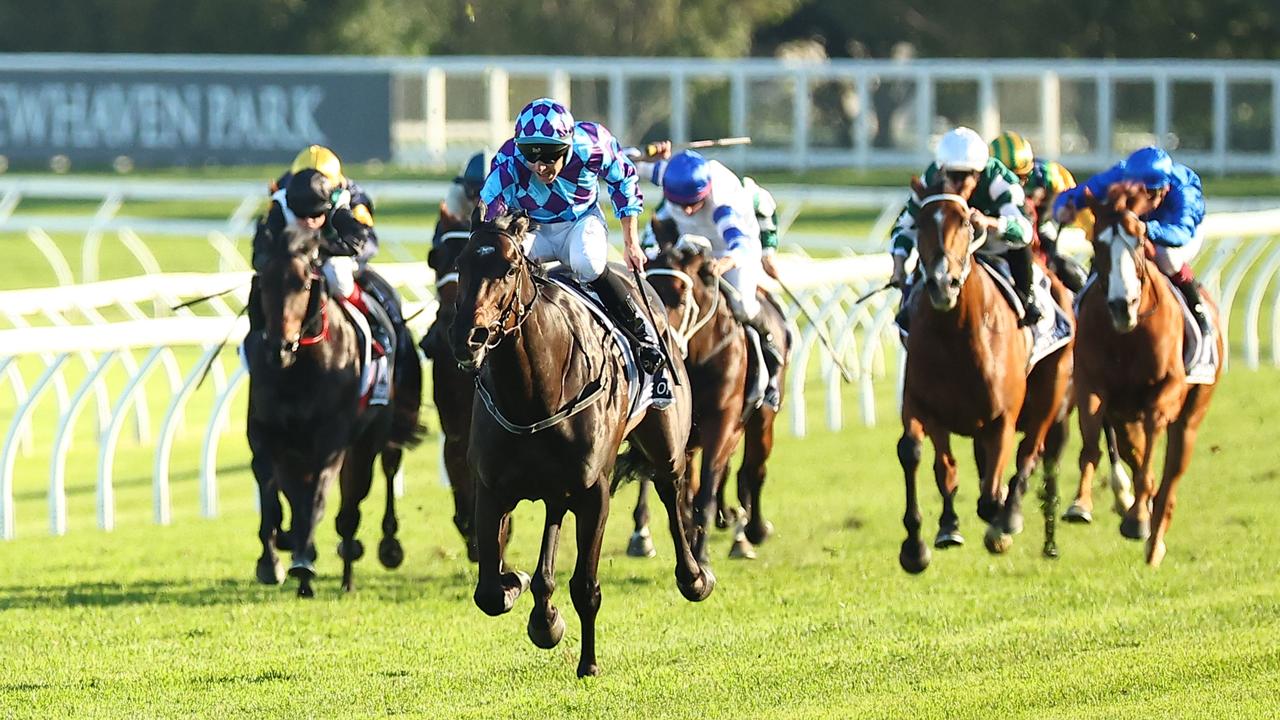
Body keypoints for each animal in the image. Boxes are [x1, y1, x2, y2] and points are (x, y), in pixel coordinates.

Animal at [450, 210, 716, 676]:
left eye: (509, 268)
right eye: (462, 264)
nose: (469, 336)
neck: (532, 395)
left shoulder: (595, 493)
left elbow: (586, 586)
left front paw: (588, 663)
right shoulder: (491, 488)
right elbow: (489, 591)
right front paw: (523, 592)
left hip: (665, 441)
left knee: (669, 488)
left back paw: (695, 576)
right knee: (555, 519)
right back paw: (543, 612)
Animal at [637, 234, 783, 561]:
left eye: (680, 297)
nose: (656, 348)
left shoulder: (723, 420)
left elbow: (706, 489)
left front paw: (701, 556)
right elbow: (683, 495)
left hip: (761, 419)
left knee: (753, 469)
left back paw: (752, 531)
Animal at [896, 175, 1075, 571]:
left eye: (965, 222)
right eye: (920, 223)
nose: (942, 283)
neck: (956, 336)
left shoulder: (1003, 417)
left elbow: (993, 493)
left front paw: (1002, 522)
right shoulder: (922, 405)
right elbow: (922, 457)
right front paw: (920, 543)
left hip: (1050, 392)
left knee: (1029, 452)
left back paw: (1011, 518)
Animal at [1070, 181, 1218, 563]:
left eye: (1138, 241)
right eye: (1098, 243)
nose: (1122, 306)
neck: (1128, 336)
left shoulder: (1165, 392)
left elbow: (1152, 462)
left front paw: (1138, 519)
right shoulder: (1090, 385)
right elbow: (1090, 445)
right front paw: (1081, 504)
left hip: (1191, 418)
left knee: (1170, 478)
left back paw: (1153, 541)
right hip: (1125, 419)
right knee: (1132, 453)